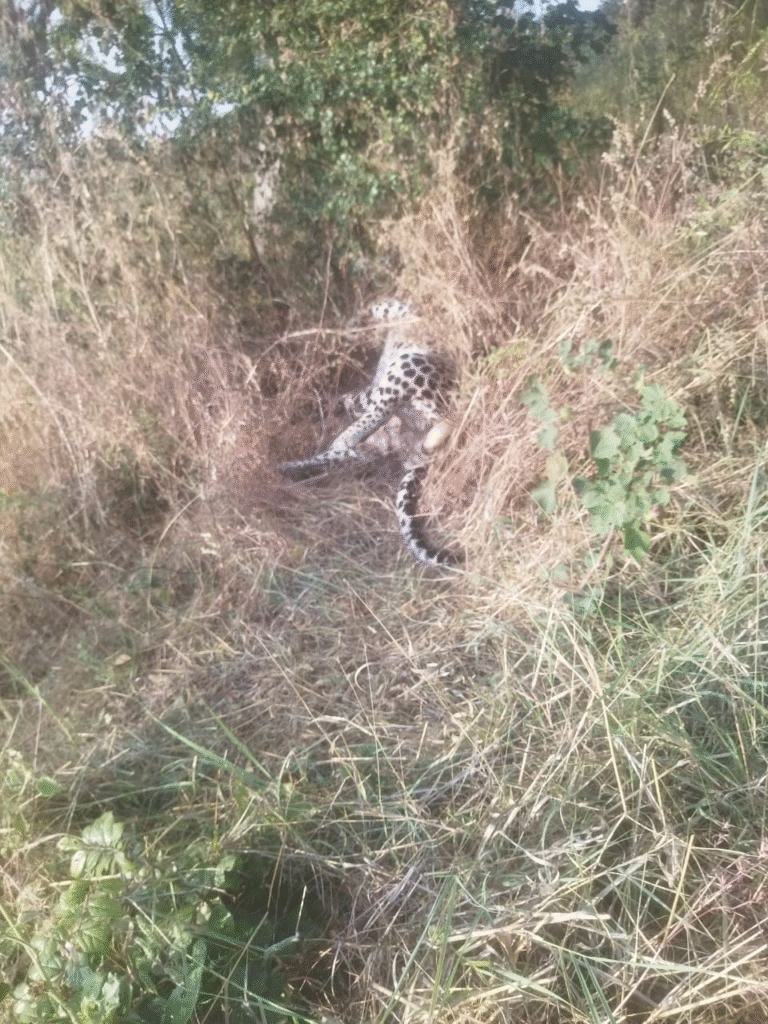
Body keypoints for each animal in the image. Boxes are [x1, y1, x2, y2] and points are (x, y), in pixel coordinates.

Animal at [279, 299, 459, 566]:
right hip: (383, 440)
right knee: (341, 455)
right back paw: (288, 470)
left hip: (409, 369)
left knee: (373, 415)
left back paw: (336, 439)